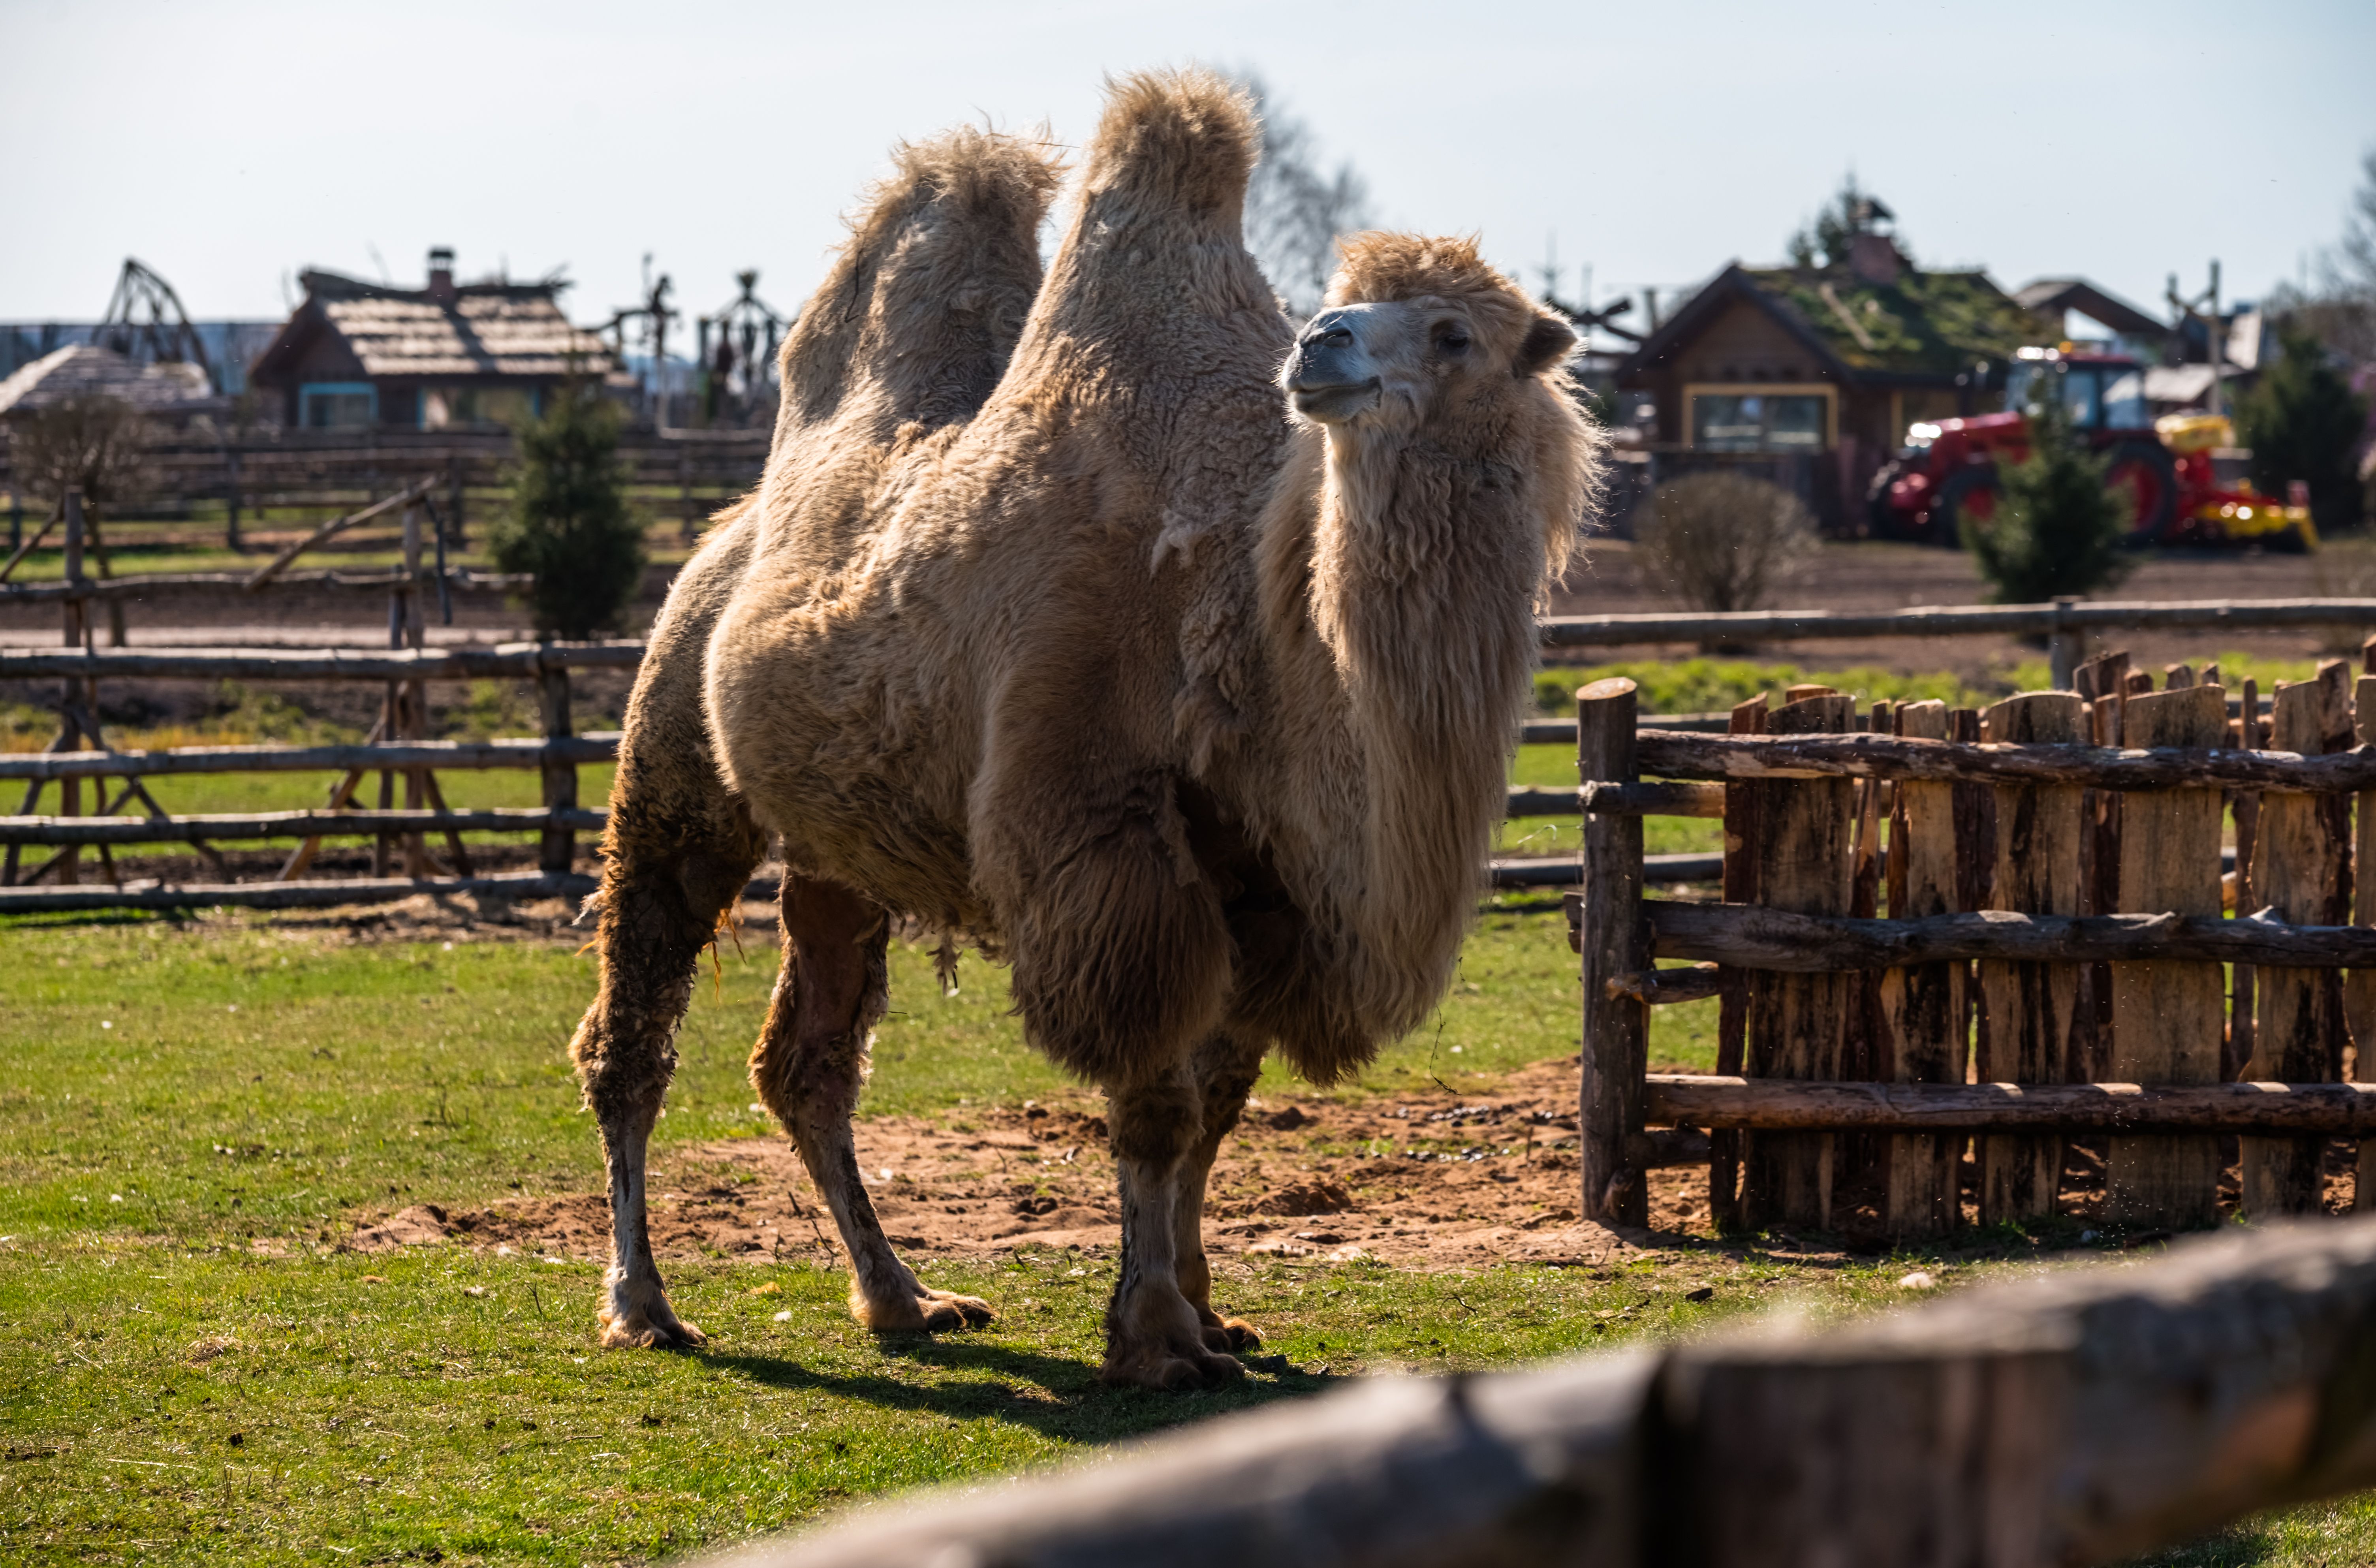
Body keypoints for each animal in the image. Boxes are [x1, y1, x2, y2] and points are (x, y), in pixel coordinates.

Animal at [569, 70, 1603, 1391]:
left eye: (1453, 332)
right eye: (1346, 301)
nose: (1320, 345)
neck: (1256, 629)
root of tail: (717, 542)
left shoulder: (1261, 888)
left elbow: (1217, 1104)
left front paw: (1211, 1315)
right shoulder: (1109, 848)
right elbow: (1153, 1105)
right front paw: (1155, 1335)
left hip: (837, 847)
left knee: (806, 1064)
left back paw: (902, 1296)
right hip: (673, 764)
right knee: (633, 1025)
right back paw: (644, 1302)